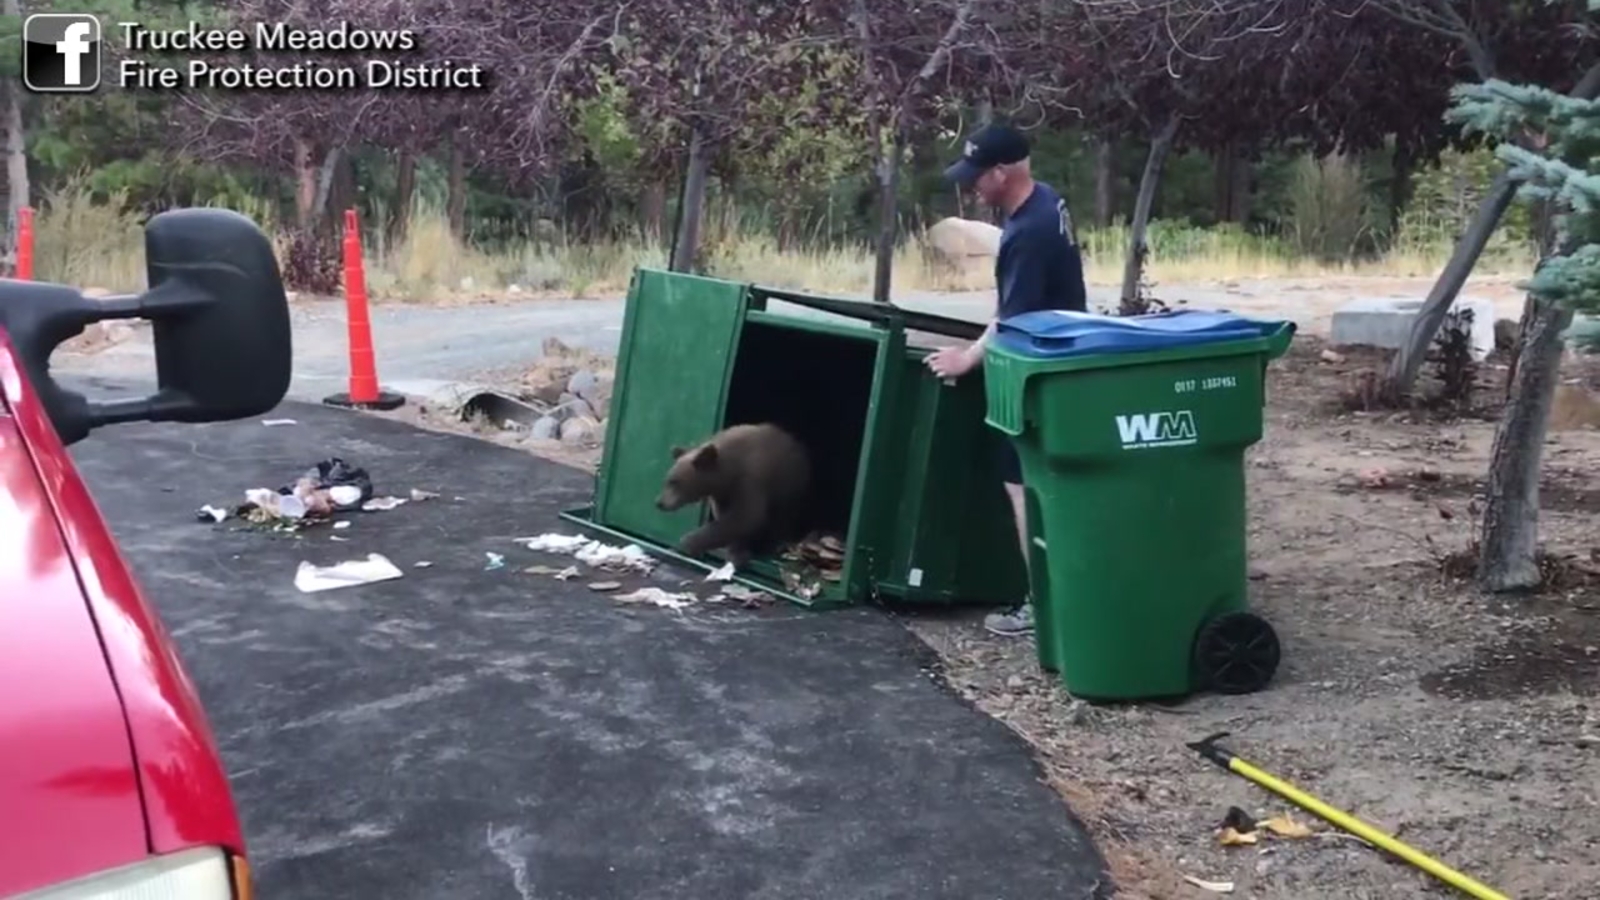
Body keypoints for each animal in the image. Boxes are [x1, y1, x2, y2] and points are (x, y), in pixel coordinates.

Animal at [654, 422, 813, 569]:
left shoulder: (750, 480)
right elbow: (728, 518)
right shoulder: (722, 493)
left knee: (781, 519)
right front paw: (734, 549)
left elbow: (745, 517)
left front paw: (688, 542)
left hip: (791, 487)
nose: (659, 503)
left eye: (674, 482)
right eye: (666, 480)